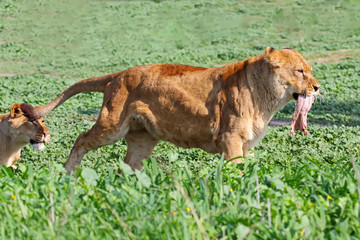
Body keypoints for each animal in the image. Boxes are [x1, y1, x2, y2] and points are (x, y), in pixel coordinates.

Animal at [33, 47, 320, 173]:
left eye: (310, 70)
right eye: (300, 71)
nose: (317, 87)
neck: (266, 96)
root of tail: (118, 74)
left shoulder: (246, 144)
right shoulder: (231, 139)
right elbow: (235, 171)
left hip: (143, 138)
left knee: (128, 164)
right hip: (111, 125)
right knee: (81, 139)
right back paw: (69, 172)